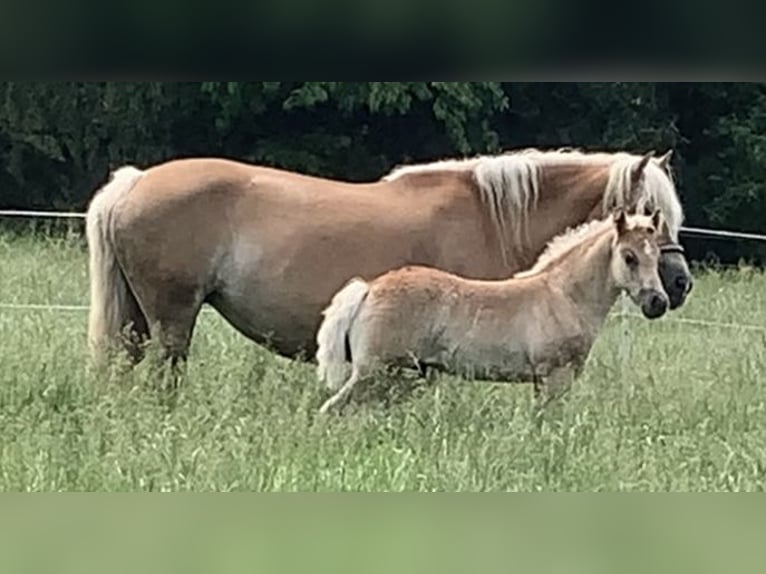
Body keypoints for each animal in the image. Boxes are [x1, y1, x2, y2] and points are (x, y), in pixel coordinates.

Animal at [87, 146, 692, 366]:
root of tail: (134, 181)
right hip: (172, 318)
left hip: (140, 319)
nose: (679, 284)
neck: (492, 217)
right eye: (647, 214)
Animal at [316, 210, 668, 414]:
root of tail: (369, 288)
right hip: (373, 373)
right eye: (629, 257)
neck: (564, 296)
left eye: (657, 255)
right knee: (330, 409)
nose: (658, 303)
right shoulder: (555, 375)